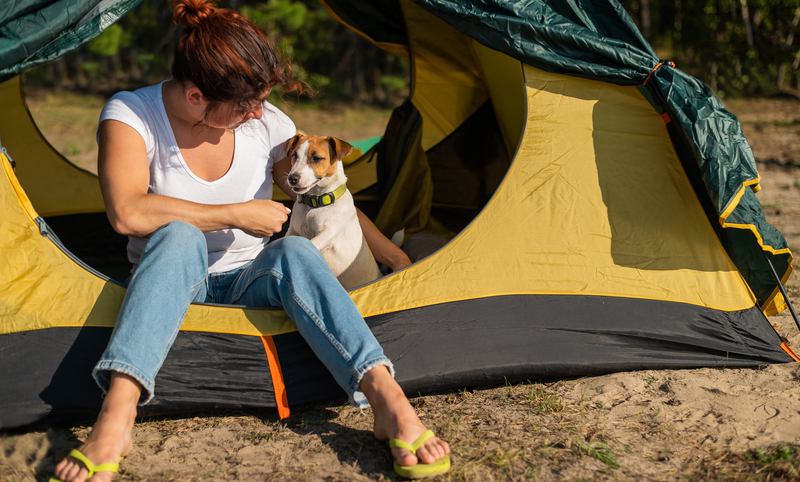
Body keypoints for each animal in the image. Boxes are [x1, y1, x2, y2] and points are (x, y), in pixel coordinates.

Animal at [282, 132, 382, 290]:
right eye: (294, 155)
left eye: (316, 158)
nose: (292, 178)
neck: (314, 204)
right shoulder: (294, 230)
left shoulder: (329, 232)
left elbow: (312, 242)